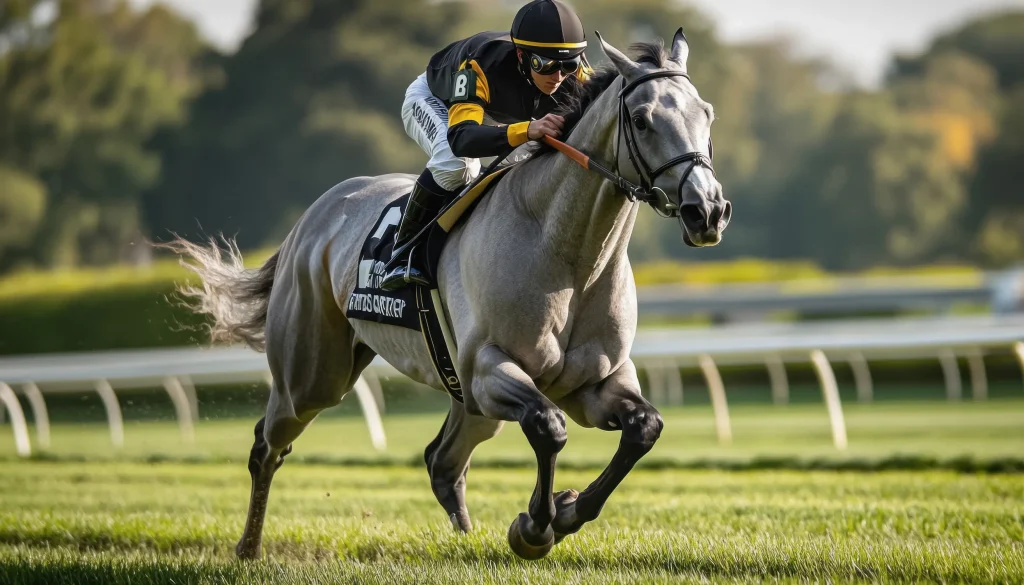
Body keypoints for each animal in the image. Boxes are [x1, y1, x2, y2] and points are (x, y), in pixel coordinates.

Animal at [164, 29, 730, 561]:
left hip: (462, 399)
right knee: (267, 445)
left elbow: (643, 427)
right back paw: (248, 547)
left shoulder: (593, 381)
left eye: (707, 114)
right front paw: (536, 527)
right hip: (314, 376)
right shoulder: (487, 369)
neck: (569, 255)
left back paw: (466, 537)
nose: (707, 210)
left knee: (443, 462)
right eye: (642, 119)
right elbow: (548, 426)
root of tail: (314, 215)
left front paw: (565, 511)